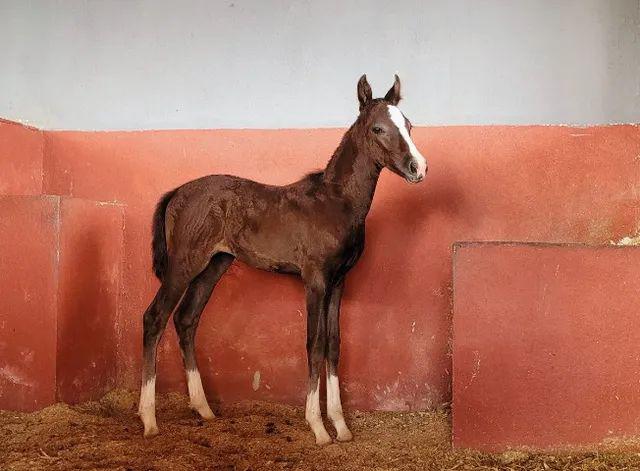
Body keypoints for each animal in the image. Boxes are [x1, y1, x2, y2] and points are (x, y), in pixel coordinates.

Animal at [138, 74, 428, 446]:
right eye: (378, 128)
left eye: (409, 125)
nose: (418, 167)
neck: (335, 203)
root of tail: (176, 192)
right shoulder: (315, 280)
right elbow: (314, 343)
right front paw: (318, 426)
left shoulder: (338, 282)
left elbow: (334, 344)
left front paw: (341, 425)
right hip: (184, 264)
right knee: (155, 318)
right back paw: (148, 419)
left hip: (214, 265)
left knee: (186, 320)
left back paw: (203, 408)